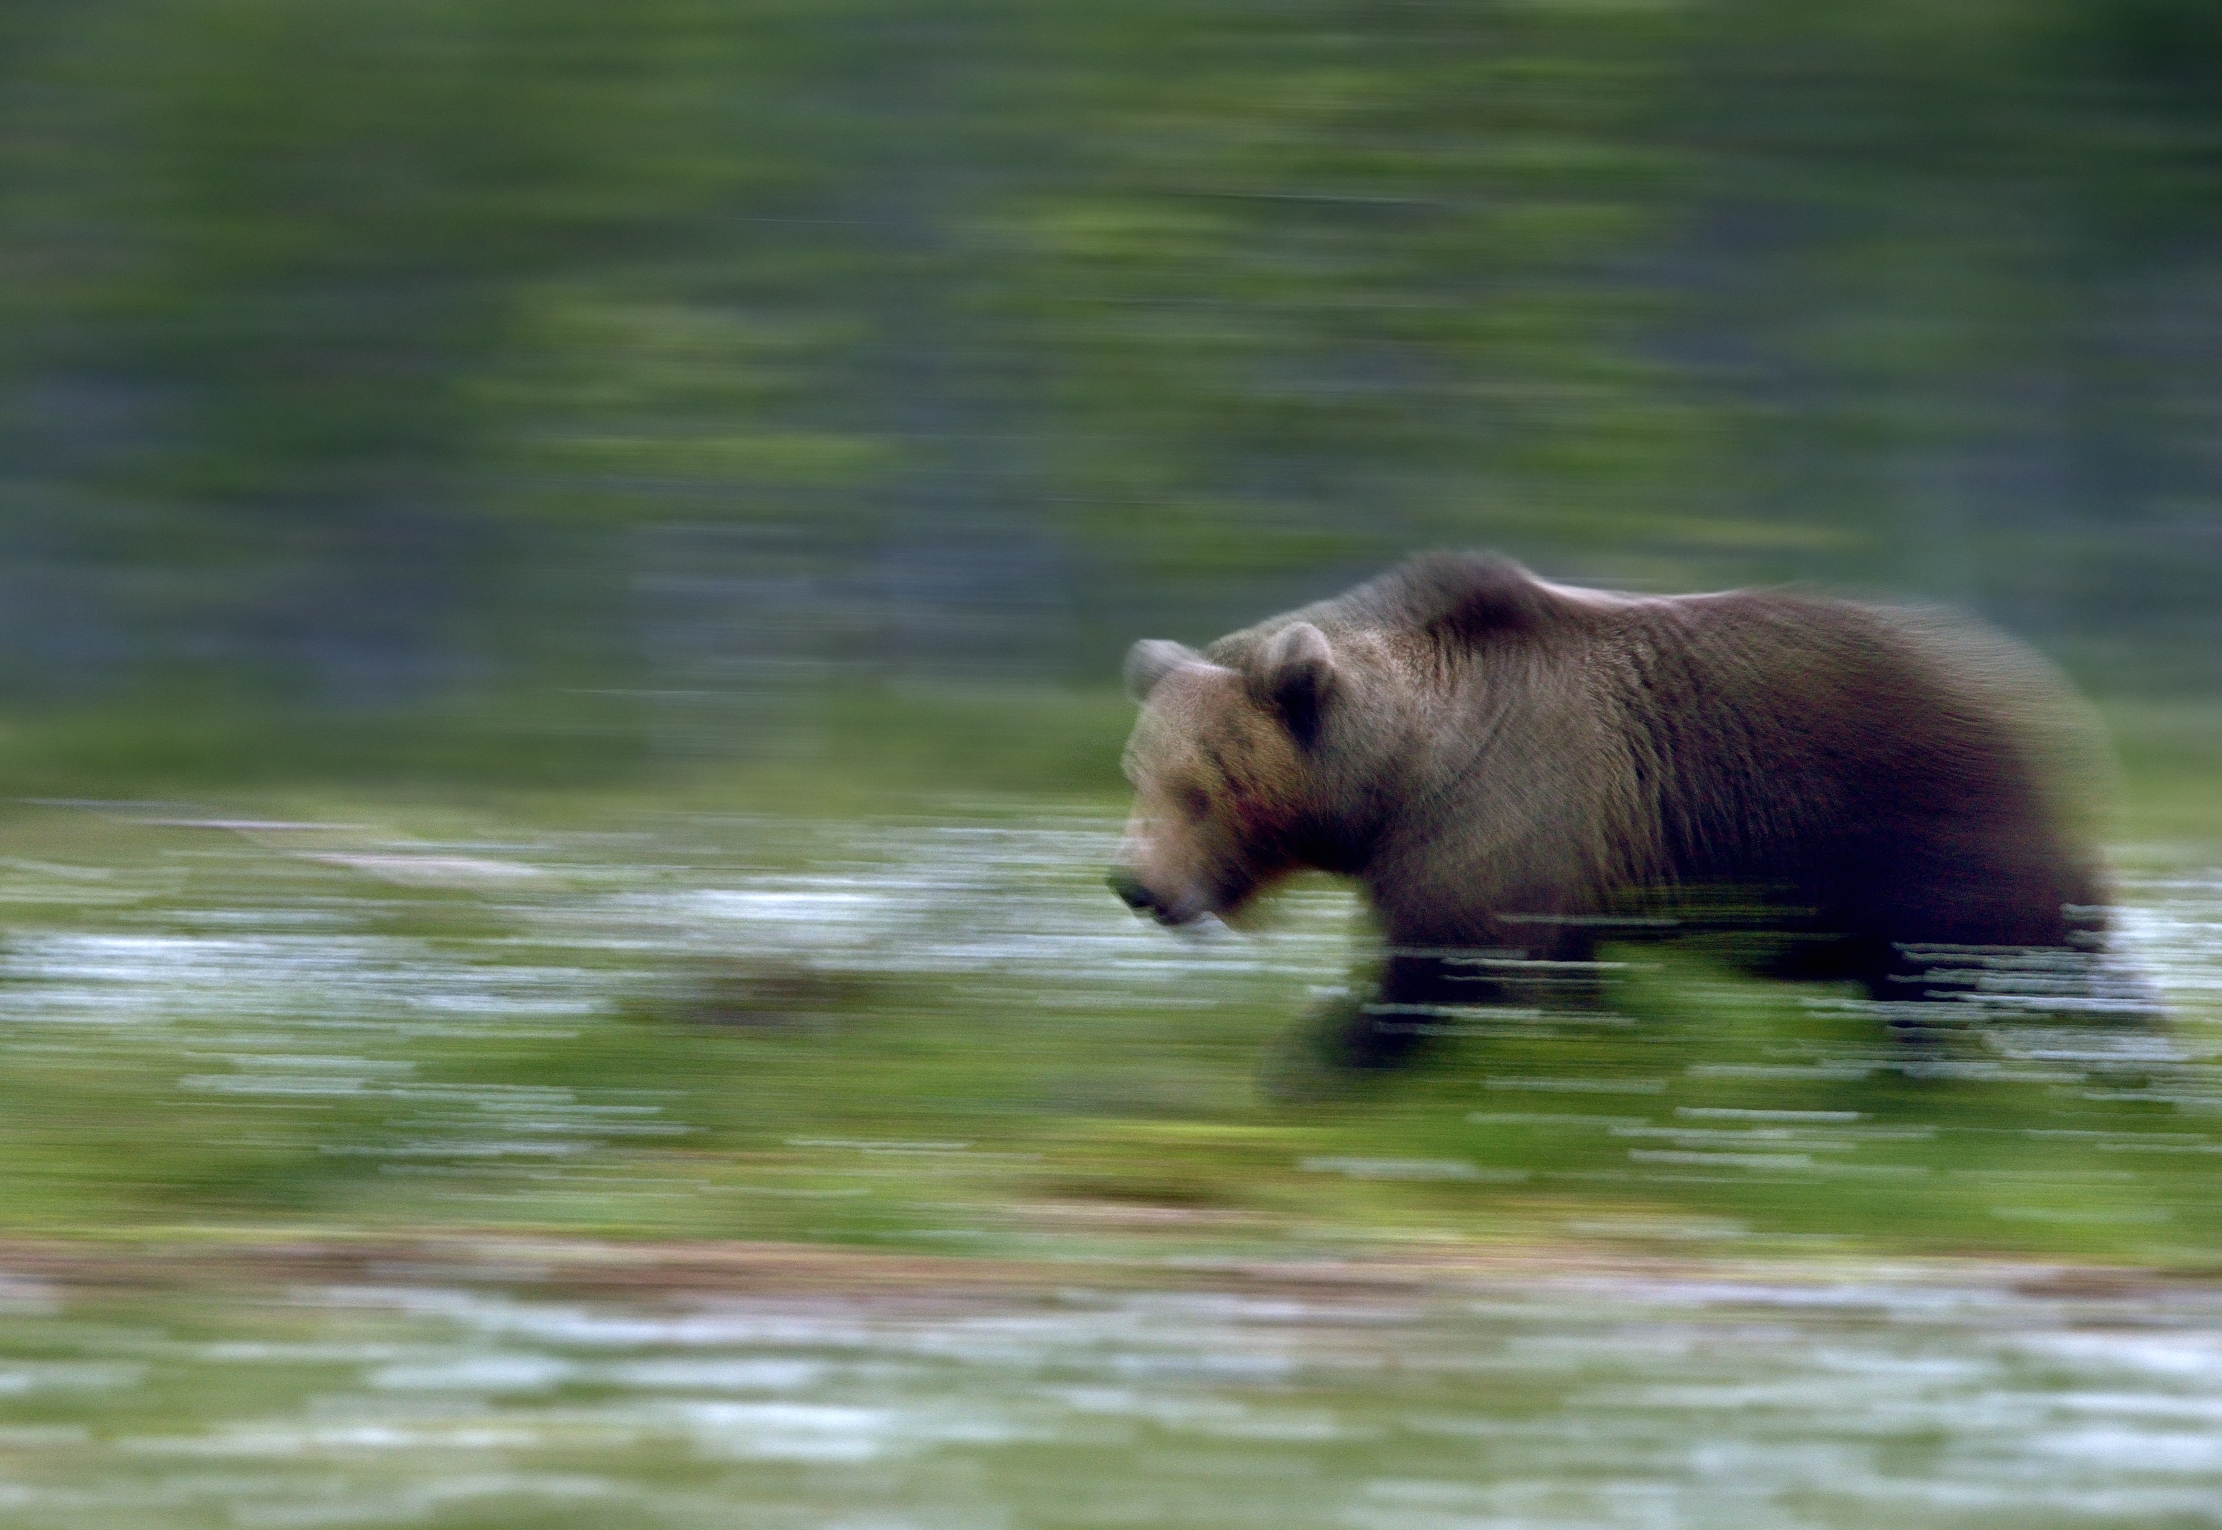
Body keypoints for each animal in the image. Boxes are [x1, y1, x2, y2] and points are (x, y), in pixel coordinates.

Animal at [1107, 552, 2132, 1072]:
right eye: (1137, 775)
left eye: (1199, 789)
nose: (1134, 883)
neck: (1400, 773)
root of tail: (2039, 688)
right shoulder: (1553, 858)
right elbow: (1562, 982)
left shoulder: (1502, 815)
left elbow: (1446, 964)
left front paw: (1317, 1060)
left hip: (1924, 810)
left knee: (2018, 953)